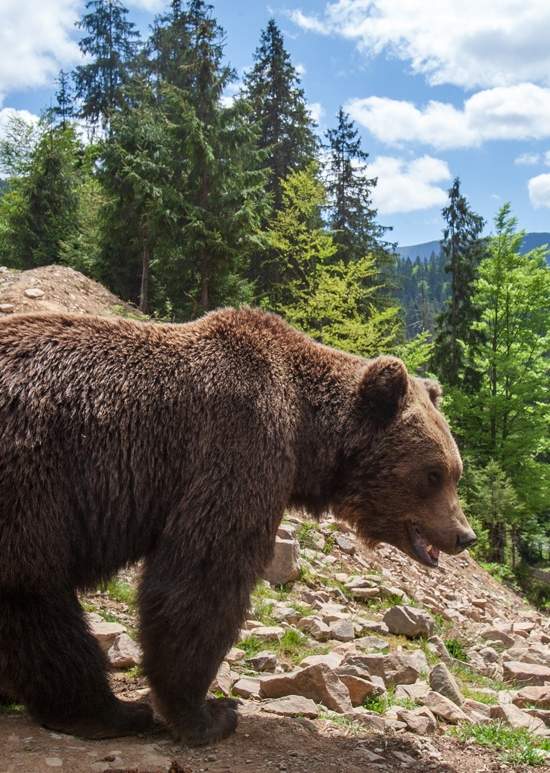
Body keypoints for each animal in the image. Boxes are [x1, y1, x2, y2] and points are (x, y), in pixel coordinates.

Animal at [0, 306, 474, 740]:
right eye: (433, 474)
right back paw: (108, 711)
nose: (463, 535)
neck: (307, 431)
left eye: (456, 471)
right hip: (37, 478)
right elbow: (205, 573)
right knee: (37, 595)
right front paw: (206, 712)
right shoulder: (240, 442)